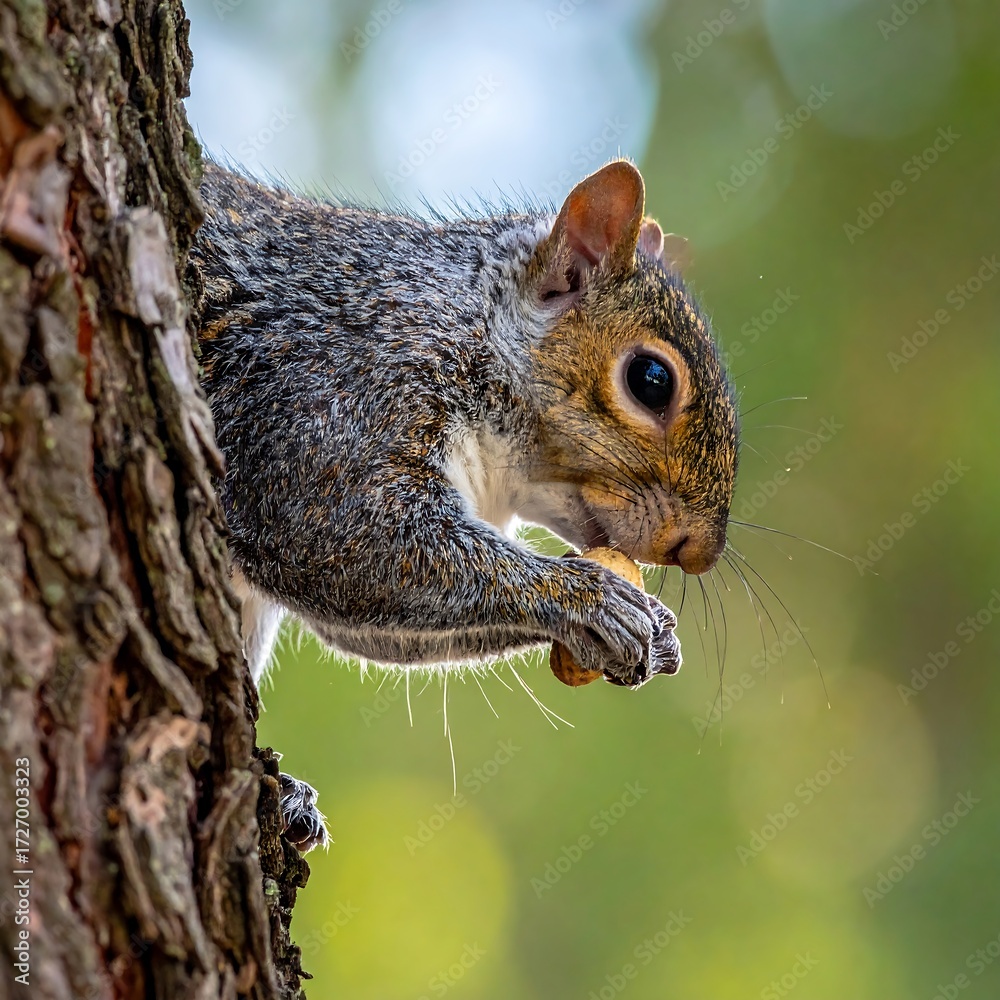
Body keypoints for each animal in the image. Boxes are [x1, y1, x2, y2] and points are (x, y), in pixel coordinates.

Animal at [189, 158, 739, 849]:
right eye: (651, 380)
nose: (699, 552)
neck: (465, 319)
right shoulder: (335, 390)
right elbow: (339, 529)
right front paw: (589, 596)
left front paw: (649, 630)